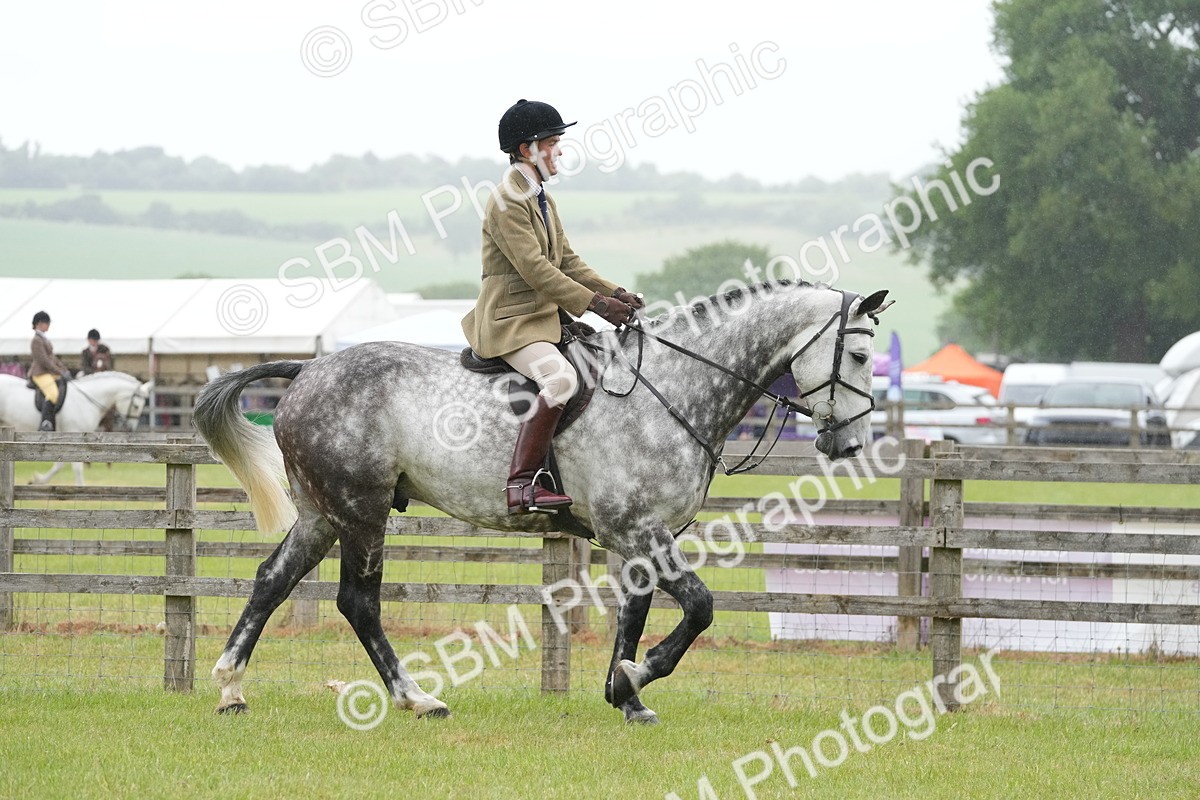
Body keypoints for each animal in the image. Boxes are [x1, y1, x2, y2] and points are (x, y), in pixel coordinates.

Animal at [0, 371, 155, 484]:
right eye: (136, 406)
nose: (129, 428)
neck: (86, 400)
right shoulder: (74, 433)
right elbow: (77, 467)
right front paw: (81, 488)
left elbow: (60, 464)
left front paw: (39, 480)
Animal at [193, 280, 892, 723]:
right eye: (858, 353)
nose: (851, 444)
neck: (674, 389)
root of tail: (308, 369)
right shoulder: (638, 529)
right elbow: (700, 607)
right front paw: (638, 675)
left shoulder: (637, 538)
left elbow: (633, 614)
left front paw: (625, 693)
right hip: (361, 511)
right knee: (358, 603)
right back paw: (417, 699)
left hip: (322, 513)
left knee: (270, 580)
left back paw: (229, 690)